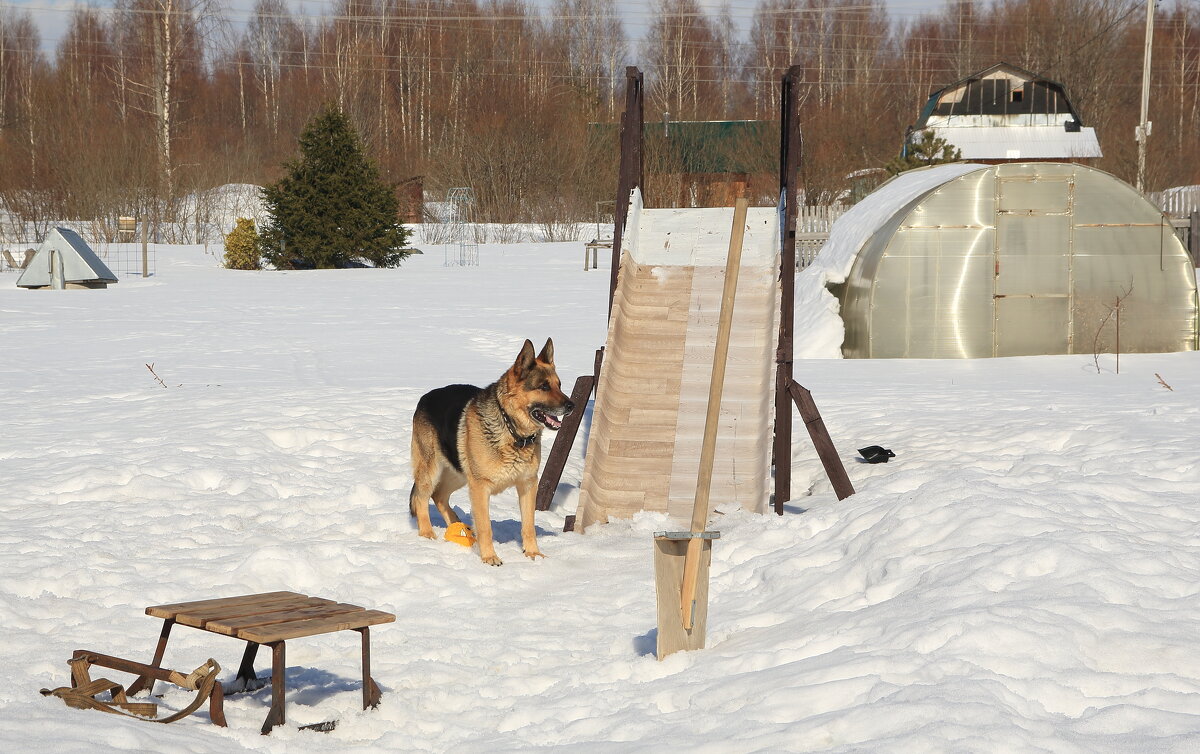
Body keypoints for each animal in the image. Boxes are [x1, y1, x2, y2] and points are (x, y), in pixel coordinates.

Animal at [410, 338, 573, 561]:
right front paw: (489, 558)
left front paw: (533, 553)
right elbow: (485, 526)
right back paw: (427, 533)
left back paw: (457, 524)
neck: (511, 430)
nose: (572, 405)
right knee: (421, 498)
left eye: (559, 385)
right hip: (432, 471)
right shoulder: (480, 487)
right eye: (544, 386)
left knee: (440, 496)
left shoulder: (528, 485)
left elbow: (528, 525)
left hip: (458, 473)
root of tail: (425, 397)